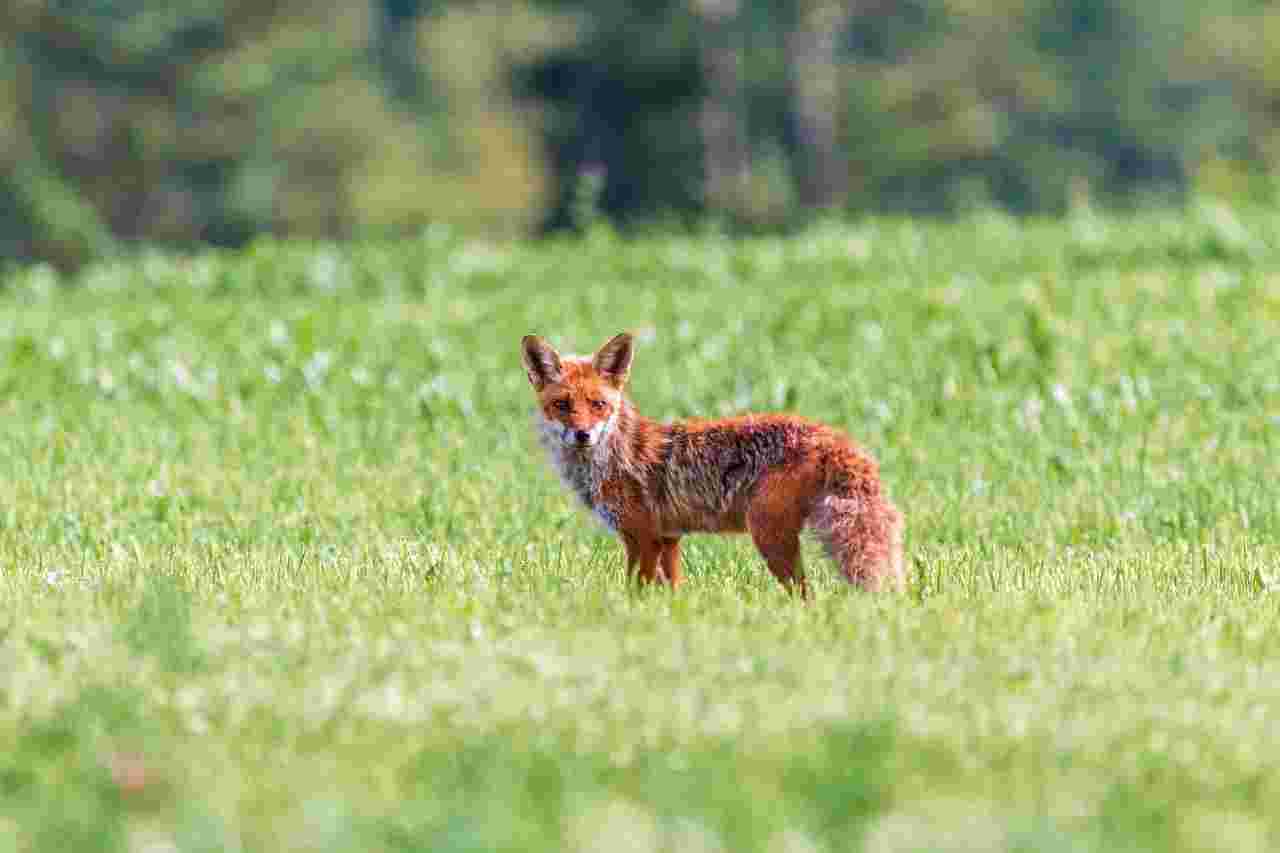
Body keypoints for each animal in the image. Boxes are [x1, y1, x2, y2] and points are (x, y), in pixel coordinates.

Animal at [514, 327, 906, 594]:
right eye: (562, 405)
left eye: (598, 405)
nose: (582, 434)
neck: (610, 457)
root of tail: (826, 433)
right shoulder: (668, 539)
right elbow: (673, 591)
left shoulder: (642, 538)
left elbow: (635, 591)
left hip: (767, 533)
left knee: (806, 596)